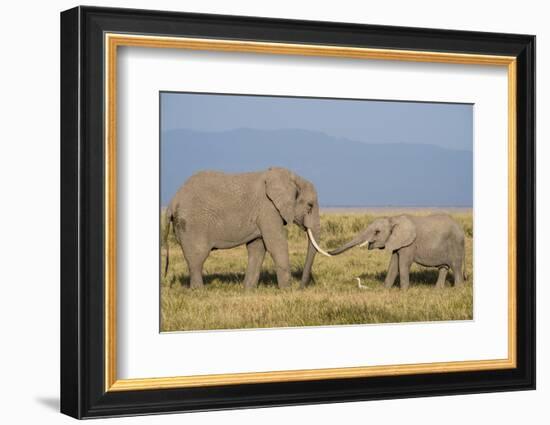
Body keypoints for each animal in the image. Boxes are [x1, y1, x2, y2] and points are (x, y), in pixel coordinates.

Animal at [164, 166, 332, 288]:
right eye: (310, 206)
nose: (301, 287)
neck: (292, 178)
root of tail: (172, 201)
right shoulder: (268, 209)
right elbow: (276, 245)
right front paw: (287, 290)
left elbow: (257, 248)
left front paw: (248, 290)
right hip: (192, 224)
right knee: (197, 258)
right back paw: (199, 291)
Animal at [330, 214, 468, 290]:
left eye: (377, 232)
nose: (328, 252)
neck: (392, 219)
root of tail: (461, 229)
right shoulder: (397, 242)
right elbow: (393, 263)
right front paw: (385, 289)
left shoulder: (409, 243)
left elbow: (403, 264)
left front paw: (404, 291)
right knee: (443, 268)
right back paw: (437, 290)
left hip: (456, 244)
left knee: (455, 266)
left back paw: (457, 289)